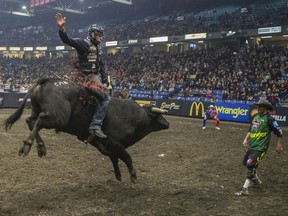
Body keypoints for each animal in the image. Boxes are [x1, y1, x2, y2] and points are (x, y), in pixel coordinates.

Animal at [4, 77, 170, 182]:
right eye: (159, 115)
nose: (168, 123)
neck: (133, 117)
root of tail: (48, 80)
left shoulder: (107, 148)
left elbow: (115, 160)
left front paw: (118, 175)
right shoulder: (115, 144)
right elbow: (127, 158)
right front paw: (133, 176)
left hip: (38, 109)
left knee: (30, 121)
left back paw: (40, 147)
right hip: (57, 117)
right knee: (38, 121)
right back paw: (27, 145)